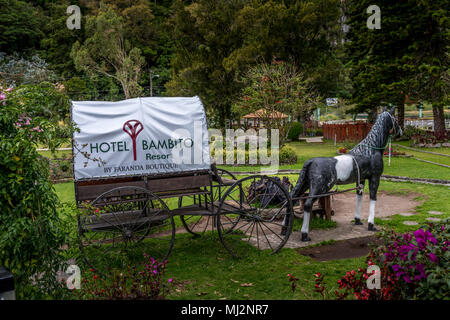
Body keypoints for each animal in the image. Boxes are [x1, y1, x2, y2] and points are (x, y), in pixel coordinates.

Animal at [288, 106, 404, 241]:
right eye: (395, 119)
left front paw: (358, 220)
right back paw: (305, 235)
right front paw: (371, 225)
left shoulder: (361, 179)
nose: (401, 132)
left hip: (305, 184)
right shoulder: (375, 178)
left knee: (291, 200)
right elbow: (373, 198)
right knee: (307, 205)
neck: (370, 150)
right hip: (319, 188)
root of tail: (311, 161)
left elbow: (359, 197)